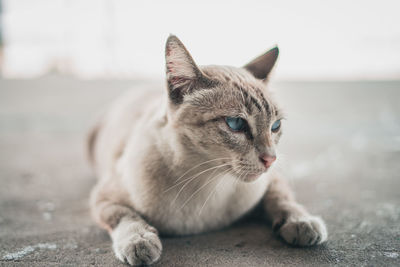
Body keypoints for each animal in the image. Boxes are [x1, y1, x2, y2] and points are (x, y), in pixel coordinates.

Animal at [87, 35, 328, 266]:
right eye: (235, 124)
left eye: (275, 126)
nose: (271, 159)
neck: (208, 183)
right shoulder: (103, 197)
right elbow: (124, 216)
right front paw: (139, 241)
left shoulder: (271, 180)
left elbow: (282, 199)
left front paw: (301, 222)